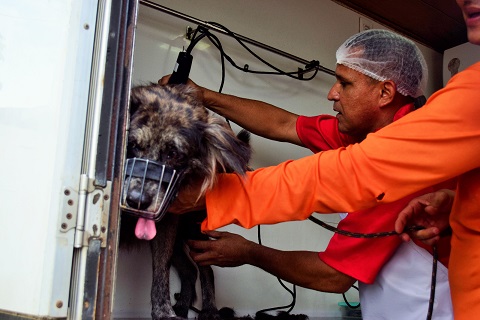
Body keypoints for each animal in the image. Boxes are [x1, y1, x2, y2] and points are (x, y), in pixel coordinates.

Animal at [119, 83, 251, 320]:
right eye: (132, 144)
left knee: (206, 269)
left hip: (193, 234)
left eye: (173, 153)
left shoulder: (165, 228)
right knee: (189, 270)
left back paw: (209, 310)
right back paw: (181, 307)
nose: (136, 201)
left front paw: (163, 312)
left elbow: (160, 272)